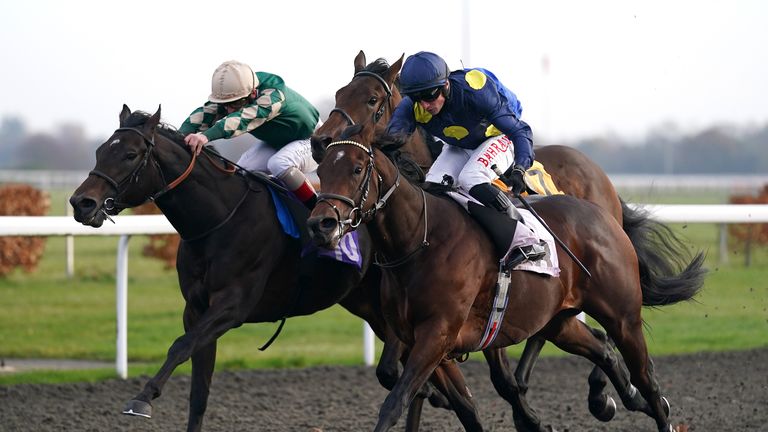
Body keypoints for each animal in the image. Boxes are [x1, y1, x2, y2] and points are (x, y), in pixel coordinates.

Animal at [67, 105, 486, 432]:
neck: (218, 220)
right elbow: (198, 389)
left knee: (406, 362)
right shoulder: (197, 310)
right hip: (367, 305)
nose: (81, 203)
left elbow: (179, 346)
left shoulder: (232, 306)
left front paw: (142, 397)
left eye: (130, 154)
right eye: (100, 150)